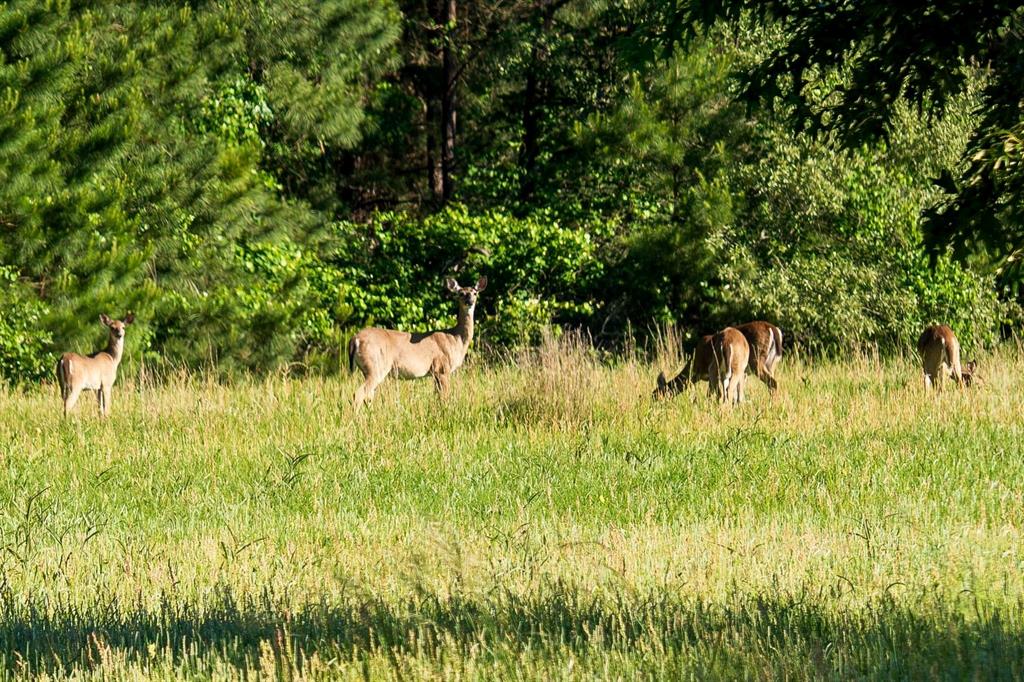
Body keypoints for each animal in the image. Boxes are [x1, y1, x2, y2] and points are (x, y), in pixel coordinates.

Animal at [346, 274, 485, 405]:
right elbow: (444, 397)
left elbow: (437, 396)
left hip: (368, 369)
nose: (470, 301)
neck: (456, 339)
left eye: (475, 293)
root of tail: (355, 339)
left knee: (368, 397)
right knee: (358, 394)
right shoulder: (442, 368)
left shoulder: (435, 372)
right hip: (376, 366)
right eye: (461, 293)